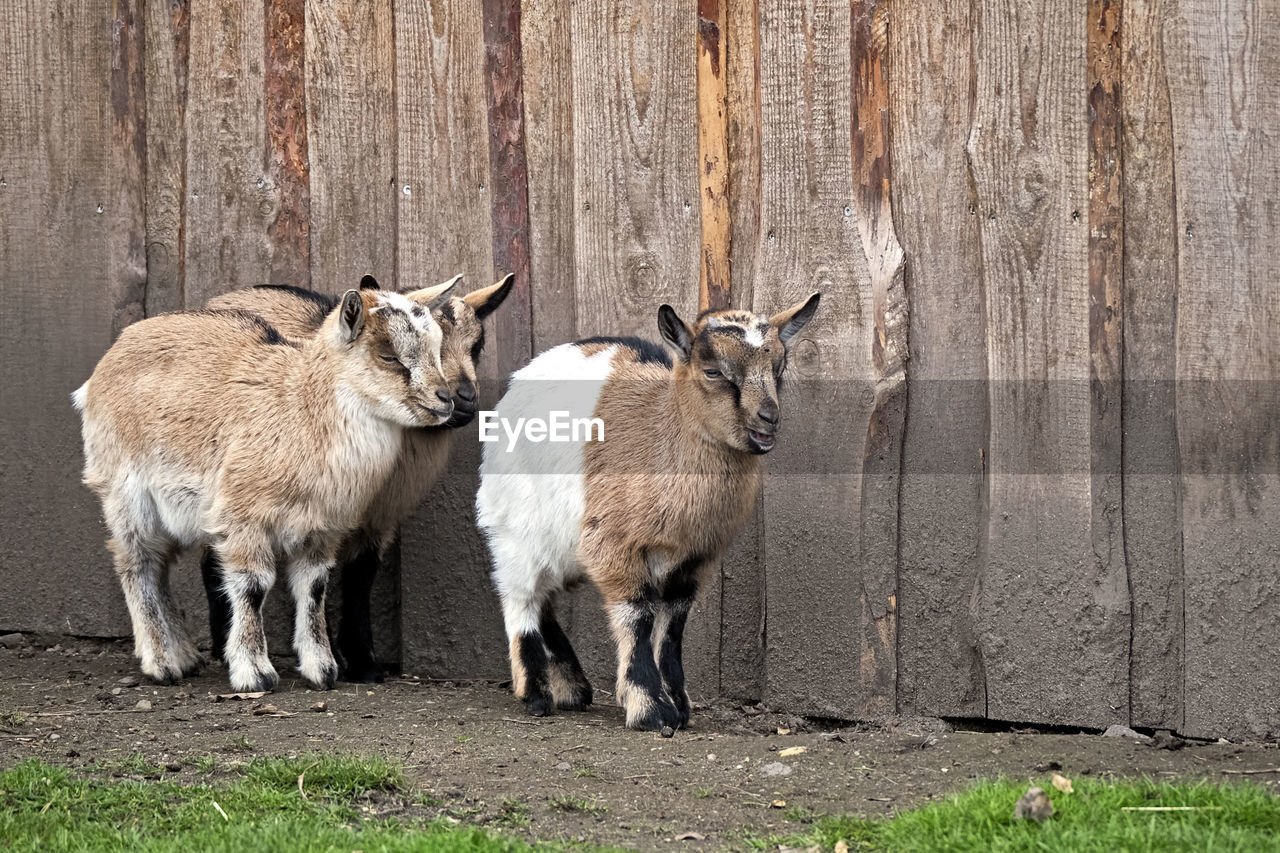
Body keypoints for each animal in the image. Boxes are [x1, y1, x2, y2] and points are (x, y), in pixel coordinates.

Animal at [72, 279, 458, 691]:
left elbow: (314, 587)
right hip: (124, 490)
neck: (301, 410)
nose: (445, 400)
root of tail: (109, 360)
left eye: (436, 348)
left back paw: (183, 655)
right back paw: (162, 663)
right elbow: (253, 585)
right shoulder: (242, 516)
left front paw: (322, 670)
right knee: (137, 562)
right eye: (388, 356)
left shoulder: (322, 527)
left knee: (158, 566)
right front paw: (254, 673)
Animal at [197, 275, 512, 681]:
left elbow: (359, 577)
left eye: (477, 345)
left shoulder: (377, 516)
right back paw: (223, 644)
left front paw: (361, 660)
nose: (464, 401)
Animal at [478, 295, 819, 727]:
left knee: (545, 599)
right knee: (520, 595)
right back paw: (536, 694)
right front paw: (650, 710)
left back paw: (572, 688)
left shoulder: (694, 560)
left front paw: (677, 704)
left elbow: (672, 627)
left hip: (561, 545)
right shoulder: (613, 545)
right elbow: (637, 616)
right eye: (712, 371)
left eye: (779, 368)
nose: (768, 420)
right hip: (513, 528)